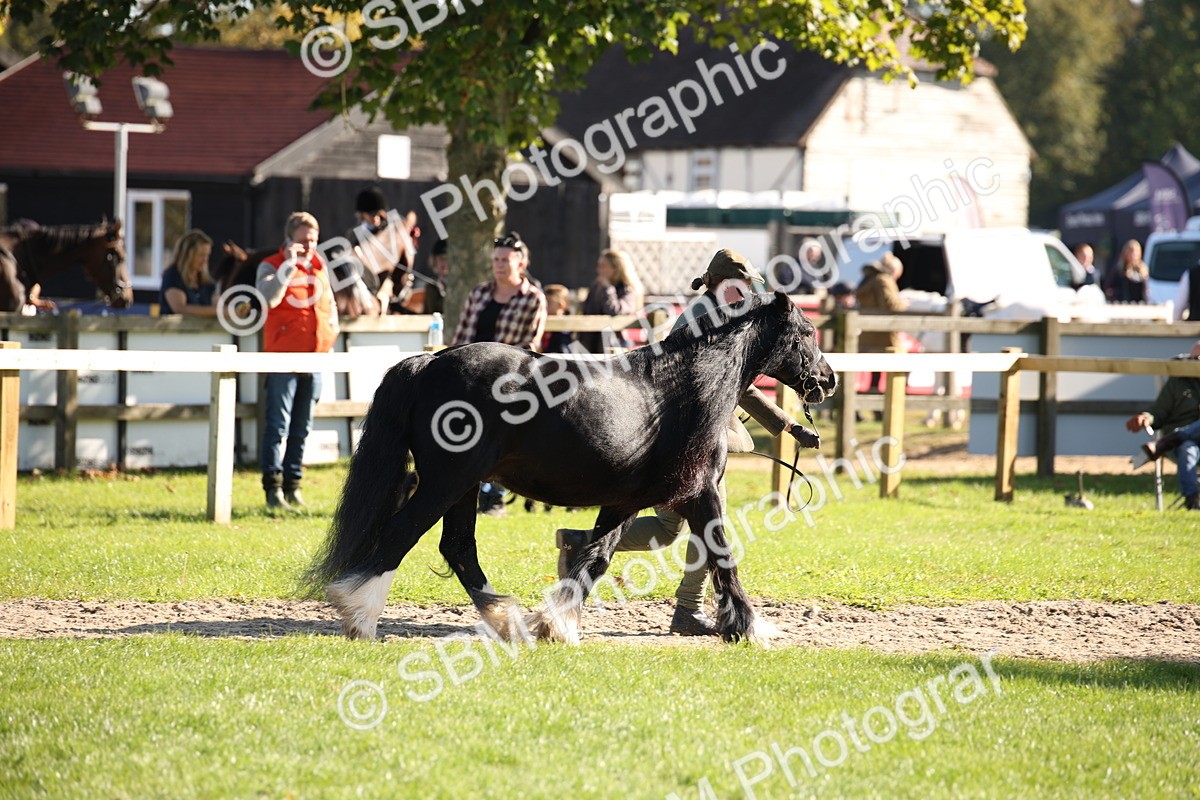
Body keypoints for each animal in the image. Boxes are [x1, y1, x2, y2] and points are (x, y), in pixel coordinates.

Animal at [305, 291, 837, 644]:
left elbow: (596, 557)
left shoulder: (624, 500)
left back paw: (505, 620)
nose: (828, 380)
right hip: (447, 481)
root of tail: (428, 362)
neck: (689, 385)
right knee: (402, 535)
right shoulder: (700, 492)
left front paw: (555, 623)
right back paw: (360, 618)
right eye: (808, 333)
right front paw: (749, 627)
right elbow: (723, 553)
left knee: (456, 547)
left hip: (464, 486)